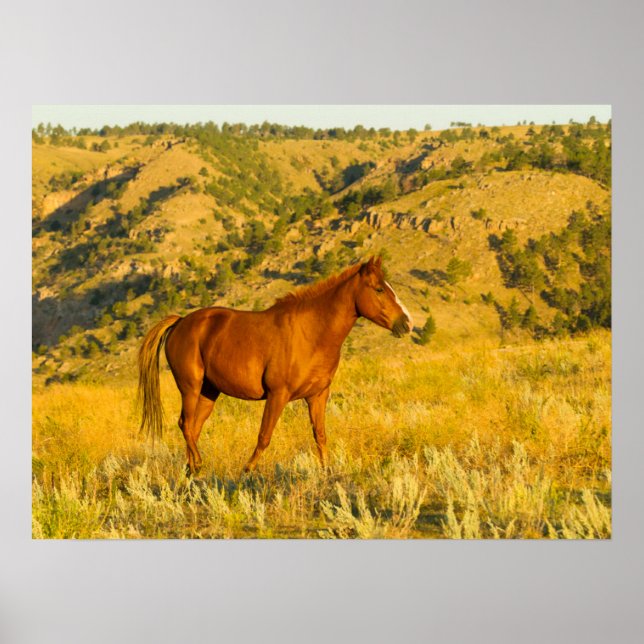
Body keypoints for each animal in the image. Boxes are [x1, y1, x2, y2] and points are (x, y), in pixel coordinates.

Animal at [137, 256, 413, 475]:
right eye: (379, 289)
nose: (406, 323)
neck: (311, 333)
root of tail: (181, 322)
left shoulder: (317, 396)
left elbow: (320, 435)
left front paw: (327, 471)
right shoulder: (277, 395)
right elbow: (264, 436)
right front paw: (247, 470)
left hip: (208, 392)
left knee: (193, 428)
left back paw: (192, 469)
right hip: (190, 388)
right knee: (185, 424)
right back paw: (198, 466)